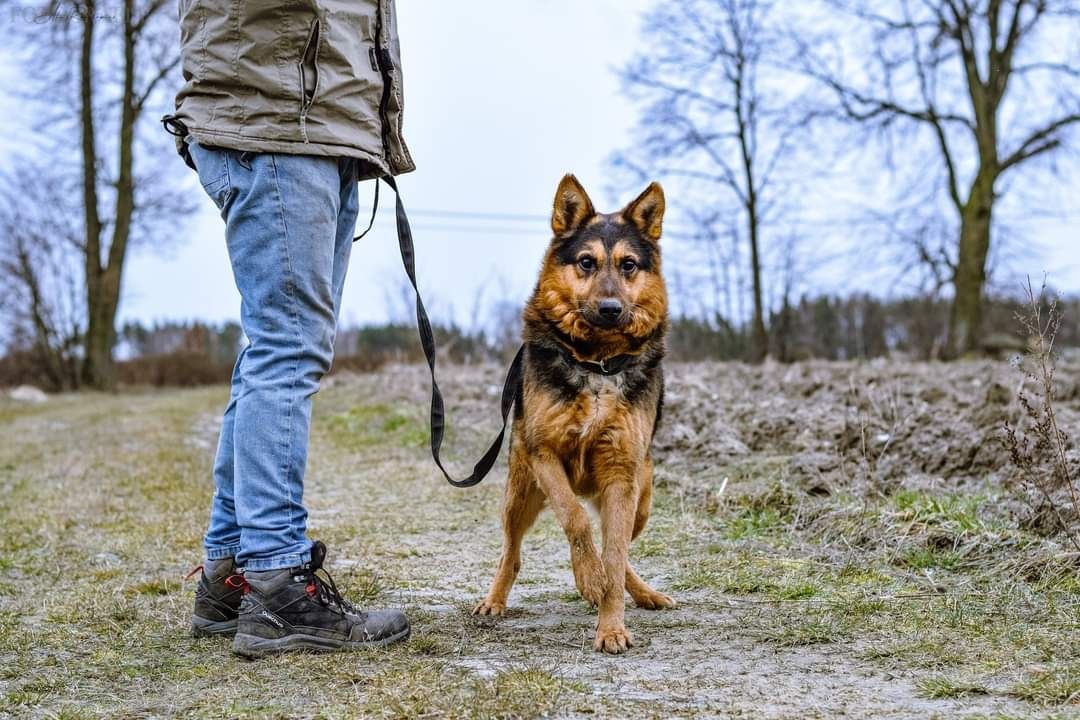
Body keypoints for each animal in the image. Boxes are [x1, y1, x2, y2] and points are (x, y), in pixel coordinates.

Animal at [475, 172, 673, 651]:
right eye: (586, 262)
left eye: (628, 265)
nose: (611, 309)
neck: (597, 363)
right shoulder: (545, 454)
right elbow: (576, 521)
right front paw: (589, 579)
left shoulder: (621, 474)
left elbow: (614, 554)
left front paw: (612, 625)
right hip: (520, 495)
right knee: (512, 551)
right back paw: (496, 599)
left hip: (641, 500)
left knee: (622, 551)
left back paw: (642, 592)